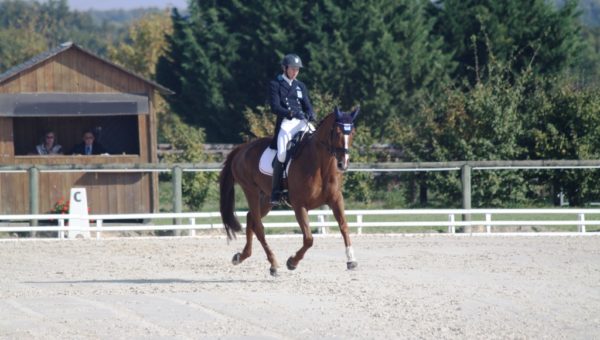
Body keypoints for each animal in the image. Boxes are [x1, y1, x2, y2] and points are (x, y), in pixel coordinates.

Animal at [221, 107, 358, 274]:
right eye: (337, 133)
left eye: (352, 133)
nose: (343, 164)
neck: (320, 164)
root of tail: (242, 149)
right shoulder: (299, 205)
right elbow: (309, 239)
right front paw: (292, 262)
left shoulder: (336, 199)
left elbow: (344, 226)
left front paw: (351, 259)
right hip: (250, 191)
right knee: (259, 227)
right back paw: (273, 264)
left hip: (266, 198)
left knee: (250, 218)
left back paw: (241, 256)